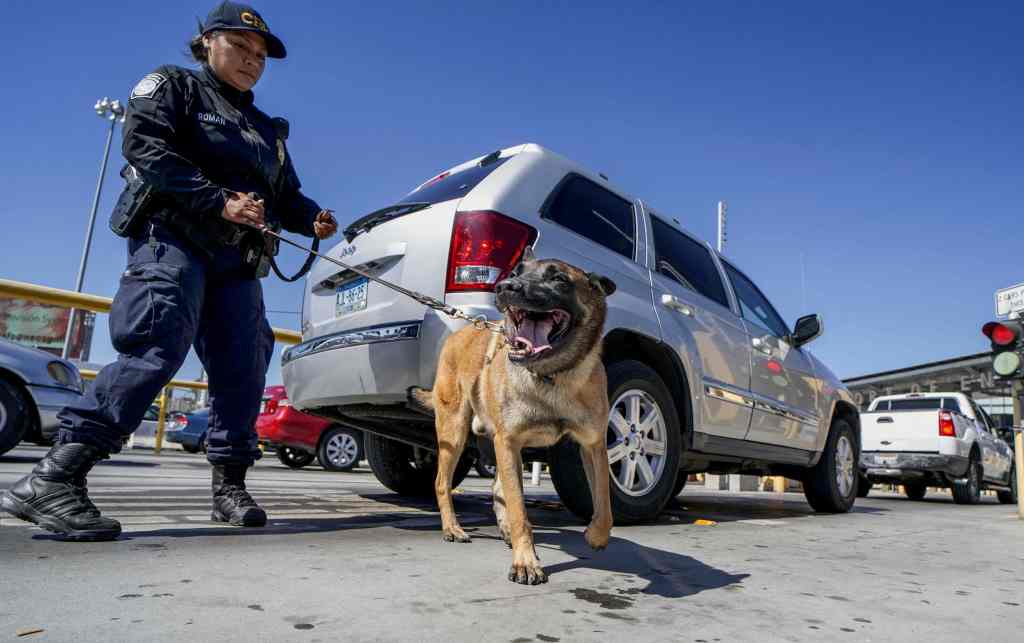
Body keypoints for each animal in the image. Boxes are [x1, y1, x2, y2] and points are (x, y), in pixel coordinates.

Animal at [407, 248, 614, 585]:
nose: (505, 287)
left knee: (496, 488)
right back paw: (453, 528)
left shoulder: (593, 445)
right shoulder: (510, 442)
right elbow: (519, 509)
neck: (552, 376)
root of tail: (464, 330)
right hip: (455, 432)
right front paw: (525, 561)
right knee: (442, 483)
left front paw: (597, 534)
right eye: (516, 272)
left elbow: (605, 500)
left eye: (559, 279)